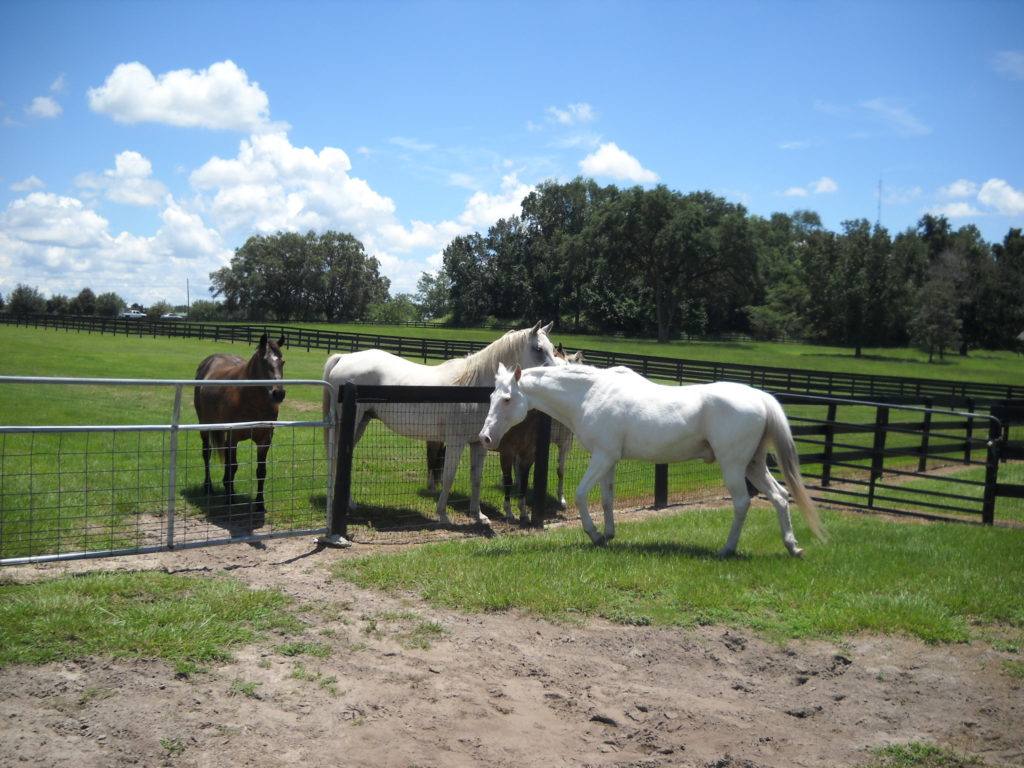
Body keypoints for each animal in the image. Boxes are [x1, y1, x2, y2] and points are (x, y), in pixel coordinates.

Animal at [192, 335, 286, 512]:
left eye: (282, 362)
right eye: (264, 361)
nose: (278, 393)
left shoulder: (265, 440)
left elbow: (261, 470)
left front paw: (259, 503)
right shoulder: (233, 437)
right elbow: (233, 466)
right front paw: (230, 499)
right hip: (205, 425)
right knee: (207, 453)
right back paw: (208, 487)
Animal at [323, 321, 557, 528]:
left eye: (553, 349)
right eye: (538, 349)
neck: (472, 387)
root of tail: (344, 357)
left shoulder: (479, 443)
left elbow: (476, 478)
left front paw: (478, 515)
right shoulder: (455, 442)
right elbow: (448, 476)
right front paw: (443, 515)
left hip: (361, 422)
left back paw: (348, 503)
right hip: (351, 423)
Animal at [477, 364, 823, 557]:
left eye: (507, 399)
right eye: (491, 397)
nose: (485, 438)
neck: (590, 393)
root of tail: (761, 397)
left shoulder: (602, 456)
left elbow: (580, 495)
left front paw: (593, 534)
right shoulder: (610, 459)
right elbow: (607, 499)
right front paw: (607, 535)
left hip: (734, 465)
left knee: (741, 503)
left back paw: (726, 549)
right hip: (754, 464)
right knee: (780, 497)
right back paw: (792, 546)